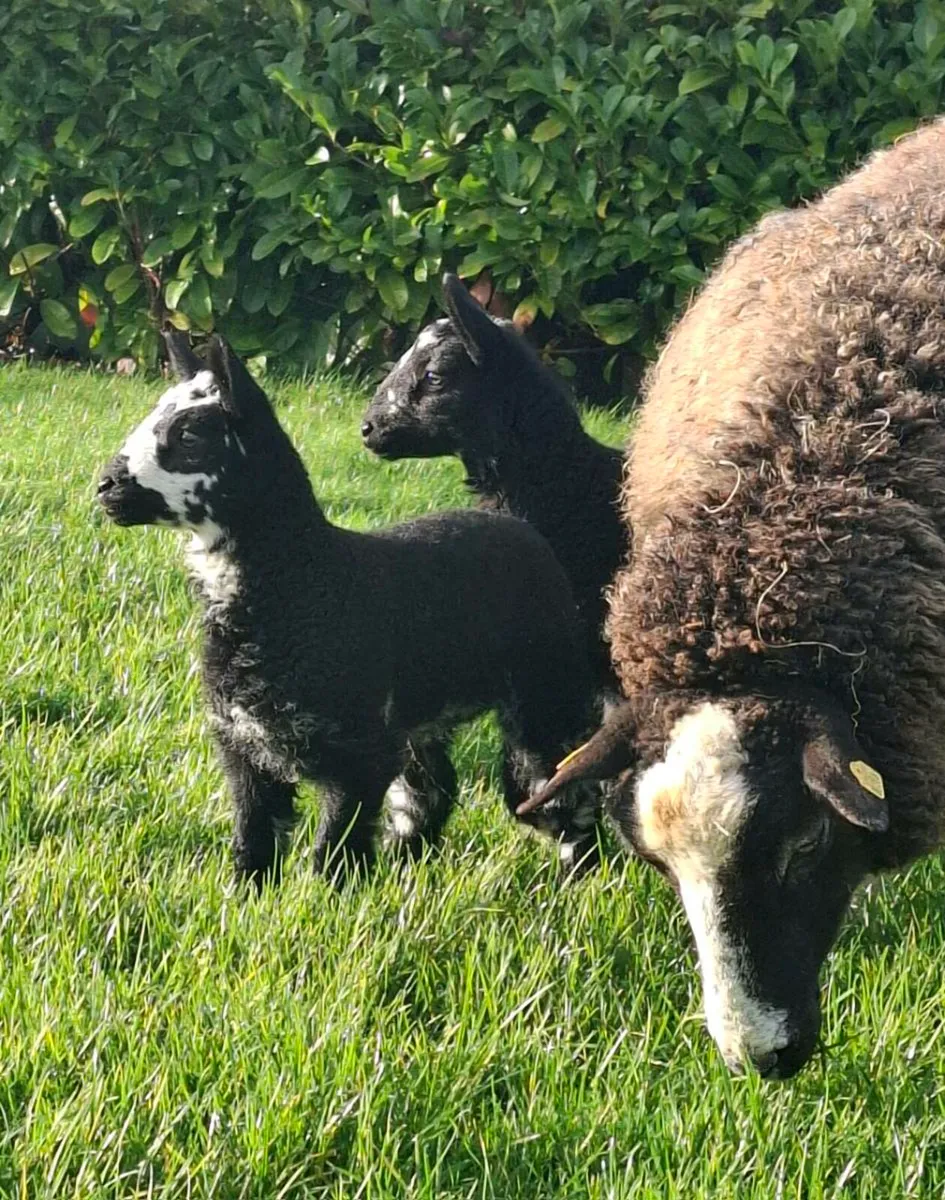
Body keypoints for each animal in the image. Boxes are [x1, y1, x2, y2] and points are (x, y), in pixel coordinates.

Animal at [97, 332, 600, 888]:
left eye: (188, 437)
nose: (106, 484)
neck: (303, 586)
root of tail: (521, 526)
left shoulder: (360, 757)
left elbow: (334, 850)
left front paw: (328, 899)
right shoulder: (245, 748)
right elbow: (253, 838)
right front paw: (246, 895)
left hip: (545, 693)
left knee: (559, 788)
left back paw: (582, 874)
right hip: (422, 715)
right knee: (430, 790)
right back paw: (410, 863)